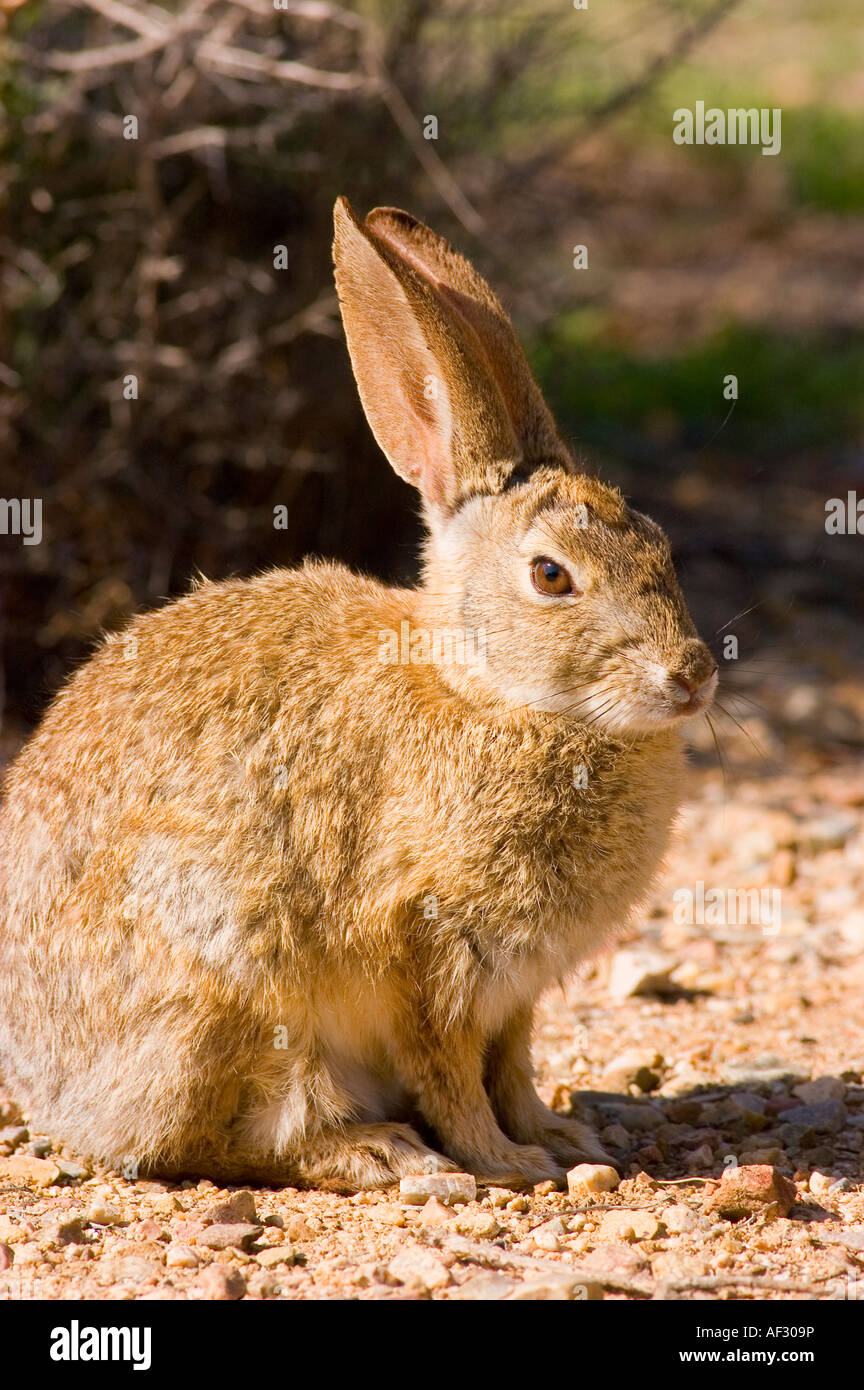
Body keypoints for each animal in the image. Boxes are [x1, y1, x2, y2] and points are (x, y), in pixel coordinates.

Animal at [0, 198, 717, 1191]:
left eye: (659, 545)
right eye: (550, 575)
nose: (693, 673)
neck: (489, 690)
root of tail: (52, 1093)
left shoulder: (517, 992)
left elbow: (513, 1063)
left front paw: (561, 1136)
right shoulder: (426, 946)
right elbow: (452, 1071)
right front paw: (505, 1161)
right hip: (228, 993)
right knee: (220, 1137)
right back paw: (380, 1150)